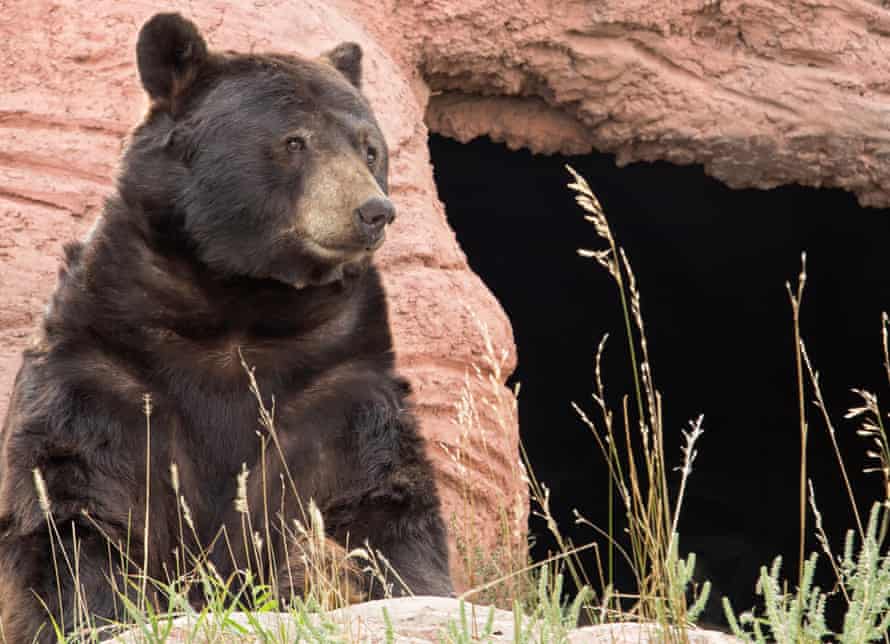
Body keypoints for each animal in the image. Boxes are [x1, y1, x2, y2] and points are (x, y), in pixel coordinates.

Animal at [0, 12, 452, 642]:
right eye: (294, 141)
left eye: (370, 148)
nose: (374, 211)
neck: (238, 301)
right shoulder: (107, 363)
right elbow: (77, 500)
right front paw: (90, 611)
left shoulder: (336, 380)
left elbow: (380, 497)